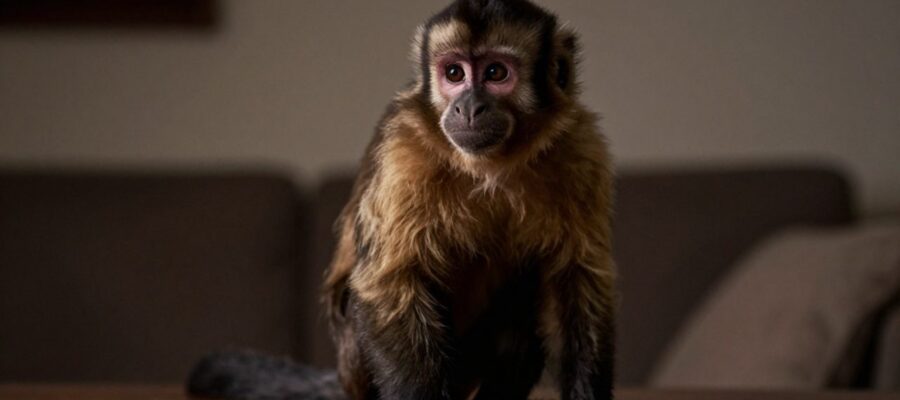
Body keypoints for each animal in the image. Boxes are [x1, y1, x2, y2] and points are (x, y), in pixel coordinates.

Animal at [324, 1, 616, 399]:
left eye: (495, 73)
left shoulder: (580, 148)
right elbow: (390, 283)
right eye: (454, 73)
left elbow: (577, 282)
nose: (469, 107)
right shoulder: (403, 149)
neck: (490, 166)